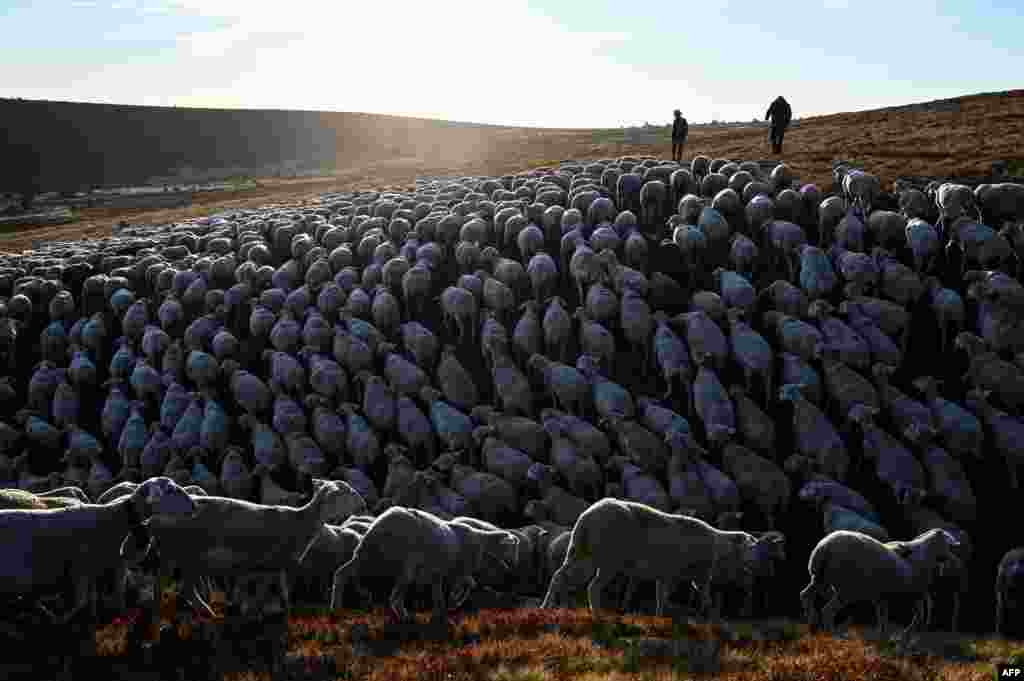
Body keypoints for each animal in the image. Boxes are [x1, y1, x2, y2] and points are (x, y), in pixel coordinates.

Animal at [330, 506, 519, 623]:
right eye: (512, 549)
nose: (511, 570)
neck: (481, 542)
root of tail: (379, 525)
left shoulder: (438, 572)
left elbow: (439, 592)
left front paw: (441, 611)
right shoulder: (460, 570)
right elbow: (468, 584)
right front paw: (453, 602)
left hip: (368, 556)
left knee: (342, 574)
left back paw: (337, 607)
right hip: (405, 561)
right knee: (395, 596)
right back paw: (404, 616)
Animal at [541, 497, 783, 617]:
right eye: (753, 546)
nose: (766, 570)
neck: (719, 545)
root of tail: (587, 517)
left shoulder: (666, 572)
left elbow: (661, 597)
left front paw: (658, 618)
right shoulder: (698, 573)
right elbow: (702, 595)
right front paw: (710, 615)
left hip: (581, 550)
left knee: (559, 576)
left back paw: (546, 606)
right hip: (609, 556)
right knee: (593, 586)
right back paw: (597, 614)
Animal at [800, 528, 960, 634]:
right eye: (949, 546)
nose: (953, 561)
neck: (925, 554)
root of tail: (825, 547)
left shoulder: (881, 596)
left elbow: (883, 619)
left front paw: (883, 640)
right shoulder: (916, 594)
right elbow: (918, 617)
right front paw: (904, 638)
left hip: (820, 578)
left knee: (805, 595)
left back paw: (811, 625)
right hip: (847, 589)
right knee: (828, 611)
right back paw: (832, 635)